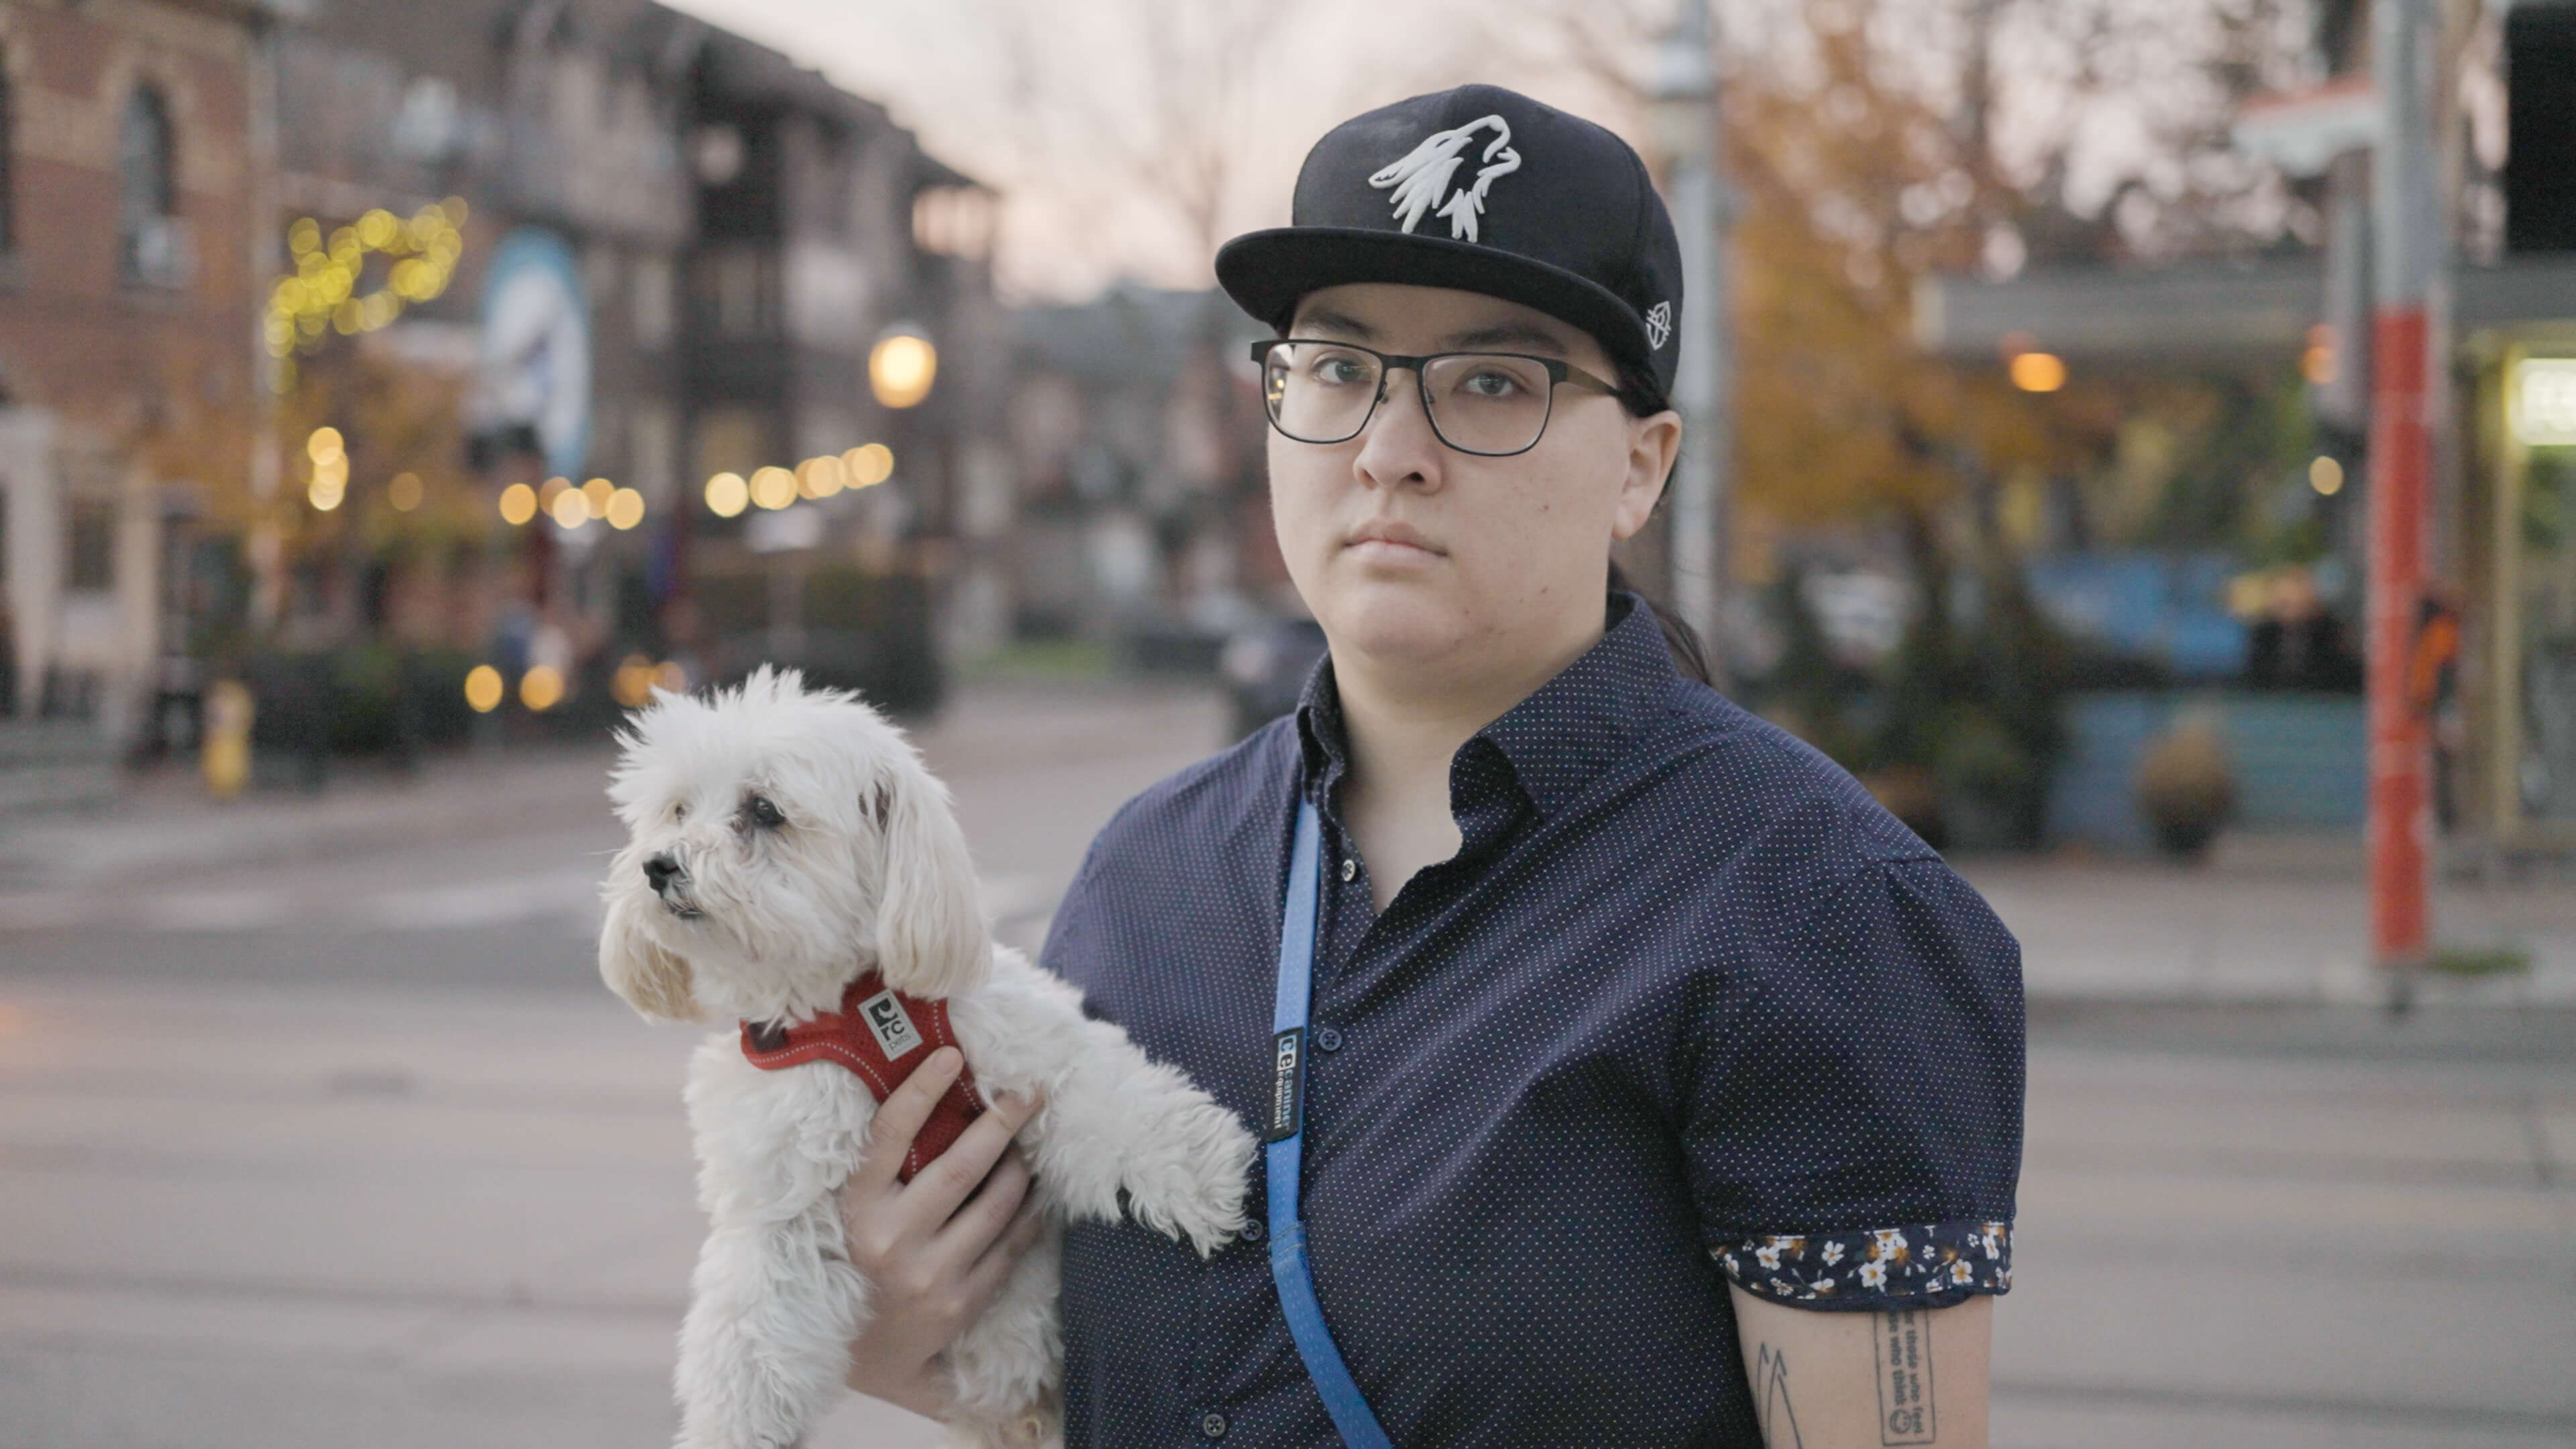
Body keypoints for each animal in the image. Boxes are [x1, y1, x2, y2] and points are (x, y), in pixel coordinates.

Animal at [595, 665, 1256, 1444]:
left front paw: (1206, 1179)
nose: (657, 865)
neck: (853, 1009)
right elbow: (749, 1334)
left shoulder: (1027, 1050)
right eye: (676, 810)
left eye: (763, 810)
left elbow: (1111, 1100)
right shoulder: (779, 1202)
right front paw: (731, 1427)